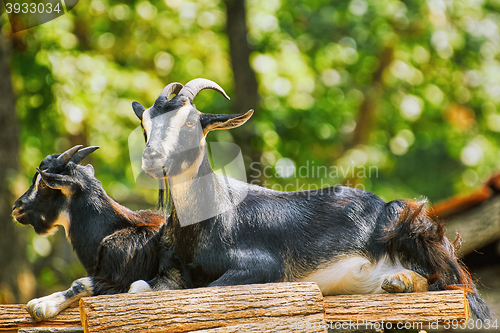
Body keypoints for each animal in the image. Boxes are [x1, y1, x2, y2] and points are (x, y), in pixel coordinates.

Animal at [130, 78, 492, 320]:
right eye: (145, 124)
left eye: (190, 122)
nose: (152, 159)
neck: (212, 215)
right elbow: (137, 287)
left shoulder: (264, 267)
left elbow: (205, 289)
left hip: (409, 221)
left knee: (452, 284)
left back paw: (400, 281)